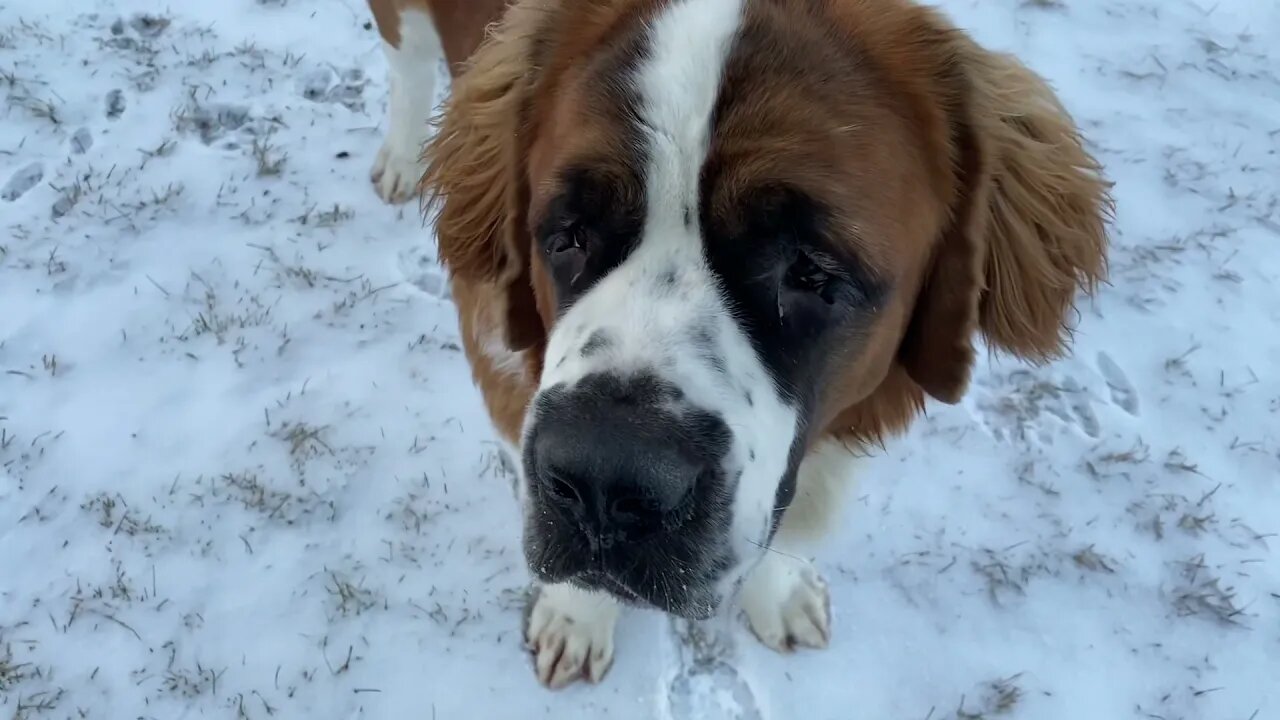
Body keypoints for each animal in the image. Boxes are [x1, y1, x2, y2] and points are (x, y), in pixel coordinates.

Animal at [363, 0, 1111, 686]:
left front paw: (776, 594)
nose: (604, 480)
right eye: (568, 235)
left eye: (811, 270)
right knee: (409, 66)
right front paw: (578, 615)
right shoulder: (503, 367)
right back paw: (402, 159)